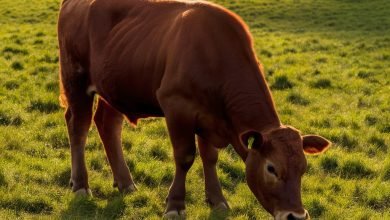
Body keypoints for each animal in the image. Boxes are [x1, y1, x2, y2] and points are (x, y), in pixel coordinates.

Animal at [58, 0, 330, 219]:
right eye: (271, 168)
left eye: (303, 168)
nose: (295, 215)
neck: (214, 55)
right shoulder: (176, 107)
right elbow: (185, 156)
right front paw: (175, 205)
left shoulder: (209, 117)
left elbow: (210, 158)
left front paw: (218, 200)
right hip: (76, 79)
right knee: (79, 125)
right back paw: (80, 185)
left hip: (116, 88)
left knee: (108, 125)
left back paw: (126, 183)